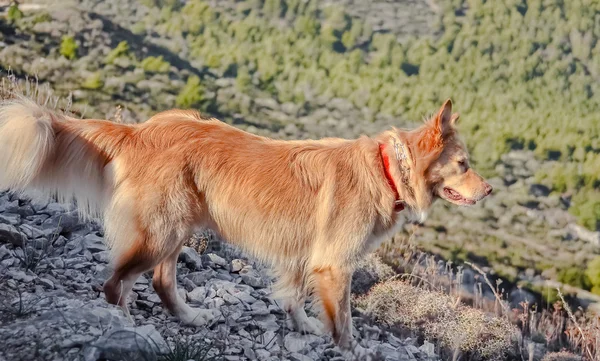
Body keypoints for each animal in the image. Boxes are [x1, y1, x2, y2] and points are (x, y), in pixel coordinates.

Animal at [0, 95, 492, 352]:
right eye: (464, 164)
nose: (488, 191)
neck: (388, 168)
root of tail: (142, 130)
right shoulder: (335, 264)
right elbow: (345, 322)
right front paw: (347, 349)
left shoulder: (303, 253)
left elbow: (294, 296)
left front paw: (302, 327)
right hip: (162, 230)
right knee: (116, 281)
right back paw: (123, 322)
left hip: (179, 228)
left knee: (159, 279)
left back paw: (188, 316)